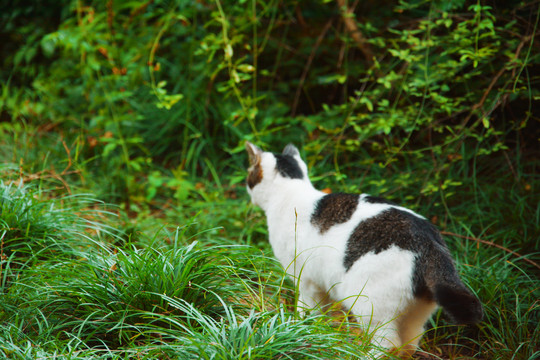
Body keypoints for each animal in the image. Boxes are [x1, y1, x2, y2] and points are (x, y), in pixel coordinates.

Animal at [247, 142, 484, 358]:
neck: (290, 193)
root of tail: (428, 241)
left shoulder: (304, 279)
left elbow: (307, 309)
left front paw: (301, 327)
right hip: (416, 312)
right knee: (408, 345)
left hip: (370, 303)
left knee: (388, 344)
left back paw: (362, 355)